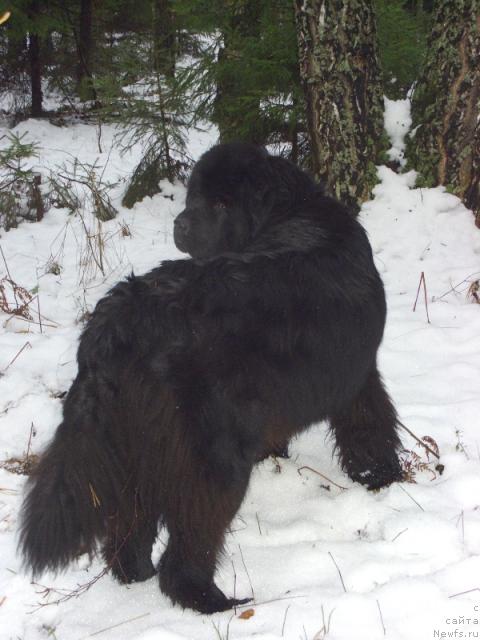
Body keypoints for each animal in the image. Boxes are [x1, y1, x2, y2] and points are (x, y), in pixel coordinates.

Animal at [18, 142, 404, 612]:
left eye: (220, 203)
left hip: (127, 440)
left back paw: (134, 574)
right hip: (212, 455)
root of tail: (119, 321)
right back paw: (211, 599)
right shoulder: (359, 373)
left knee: (130, 520)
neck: (294, 211)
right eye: (195, 198)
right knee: (190, 538)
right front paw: (382, 476)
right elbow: (371, 422)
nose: (180, 223)